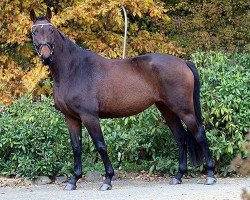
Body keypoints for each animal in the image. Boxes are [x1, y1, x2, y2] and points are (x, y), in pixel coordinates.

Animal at [29, 8, 217, 191]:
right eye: (34, 32)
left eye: (51, 30)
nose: (46, 56)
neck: (74, 70)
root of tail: (184, 63)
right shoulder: (71, 118)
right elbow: (76, 147)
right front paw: (73, 180)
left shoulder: (89, 116)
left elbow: (101, 145)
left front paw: (107, 180)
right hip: (167, 109)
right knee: (180, 137)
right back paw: (178, 176)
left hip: (184, 109)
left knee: (199, 134)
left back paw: (210, 175)